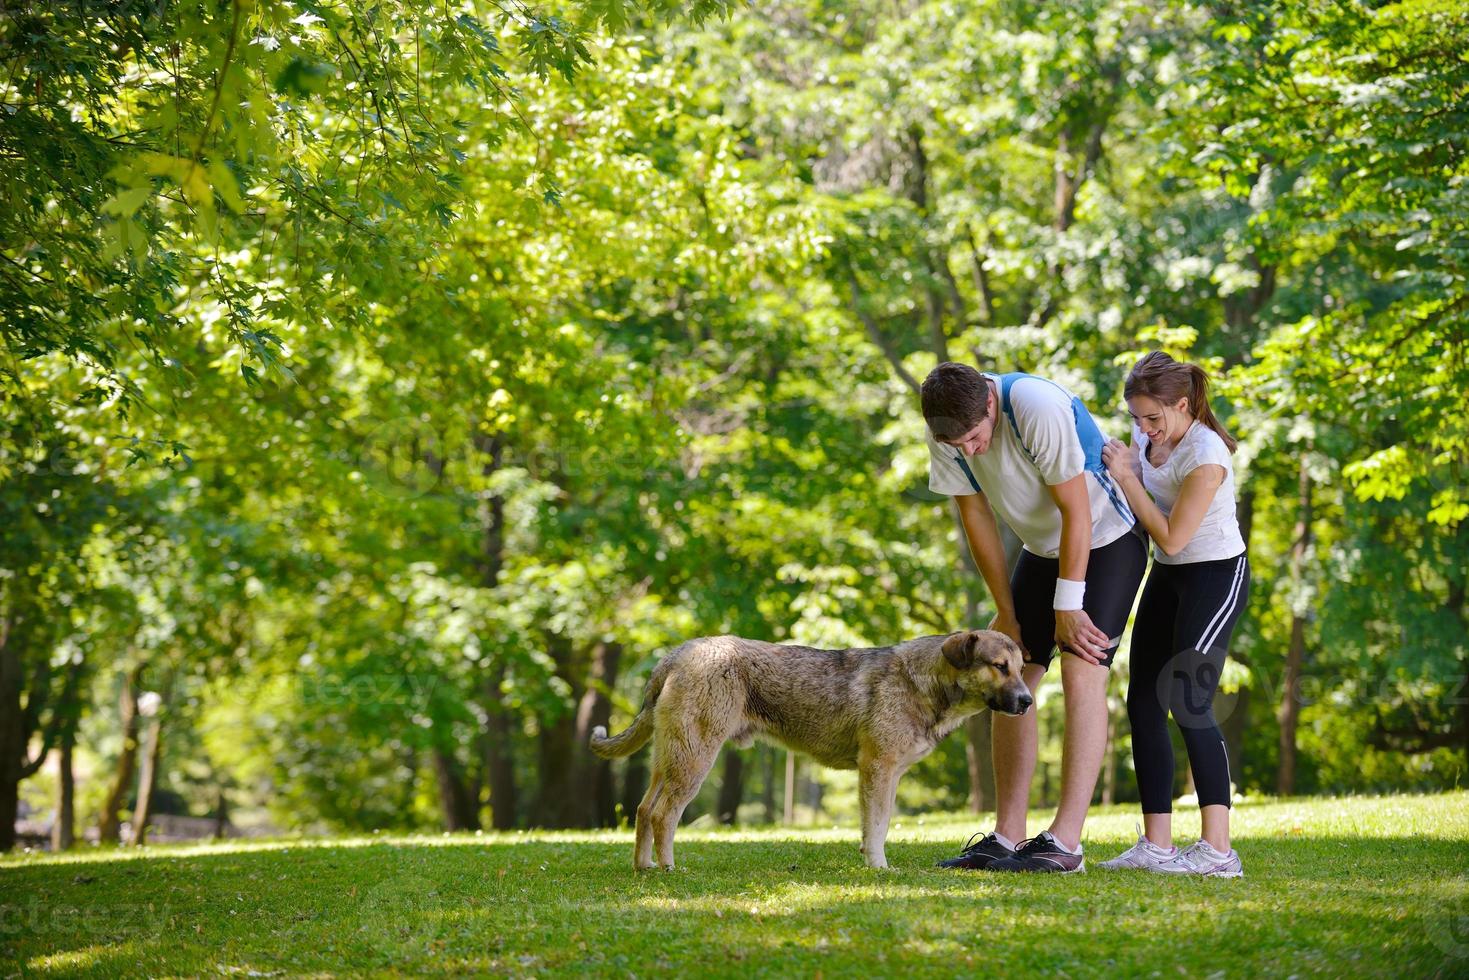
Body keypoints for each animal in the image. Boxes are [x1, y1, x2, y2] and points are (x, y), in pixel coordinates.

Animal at [587, 628, 1034, 863]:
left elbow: (879, 825)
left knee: (644, 811)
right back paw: (667, 869)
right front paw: (879, 868)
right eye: (999, 667)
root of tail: (679, 653)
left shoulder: (888, 776)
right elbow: (877, 828)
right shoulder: (877, 768)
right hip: (695, 760)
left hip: (669, 760)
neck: (922, 682)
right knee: (664, 815)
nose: (1028, 701)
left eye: (1019, 668)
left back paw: (644, 867)